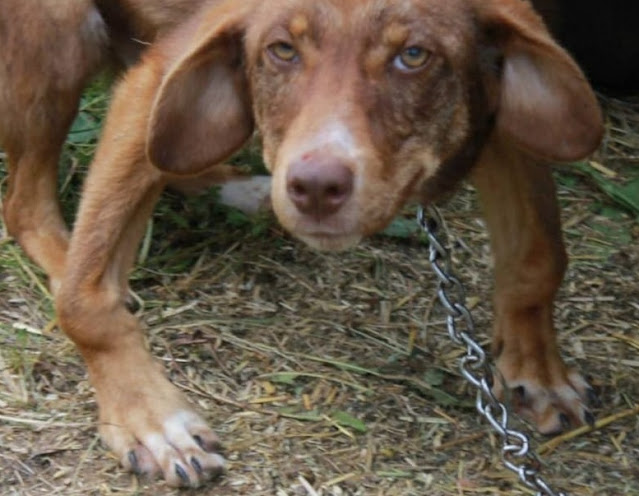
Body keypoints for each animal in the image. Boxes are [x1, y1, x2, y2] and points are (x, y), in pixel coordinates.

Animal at [0, 0, 608, 488]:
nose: (315, 187)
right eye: (282, 50)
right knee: (25, 204)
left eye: (414, 55)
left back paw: (235, 189)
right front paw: (153, 421)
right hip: (63, 35)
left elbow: (538, 256)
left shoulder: (510, 113)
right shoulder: (156, 77)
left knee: (172, 155)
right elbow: (86, 304)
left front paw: (539, 372)